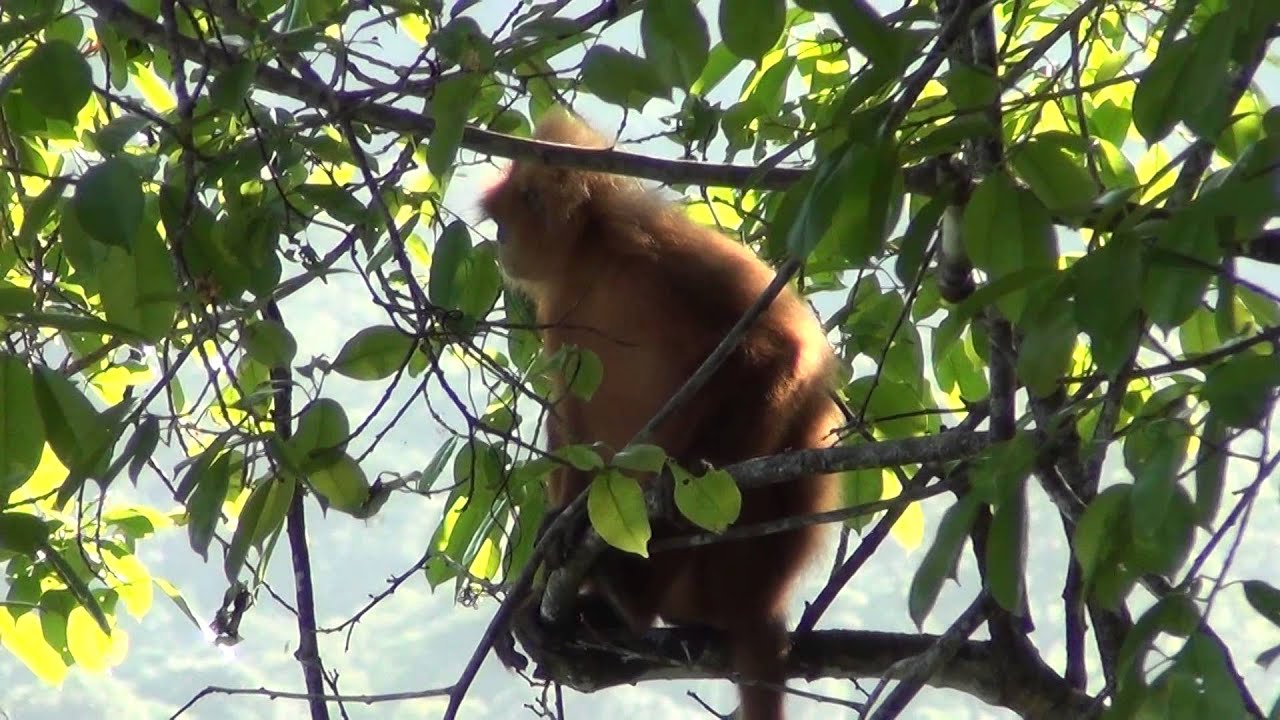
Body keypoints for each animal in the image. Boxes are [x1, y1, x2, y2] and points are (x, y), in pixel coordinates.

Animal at [481, 109, 843, 720]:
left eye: (510, 215)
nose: (498, 242)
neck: (597, 262)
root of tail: (763, 600)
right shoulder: (561, 306)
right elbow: (571, 425)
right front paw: (532, 582)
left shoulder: (660, 251)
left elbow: (774, 349)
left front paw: (670, 492)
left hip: (741, 559)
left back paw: (629, 596)